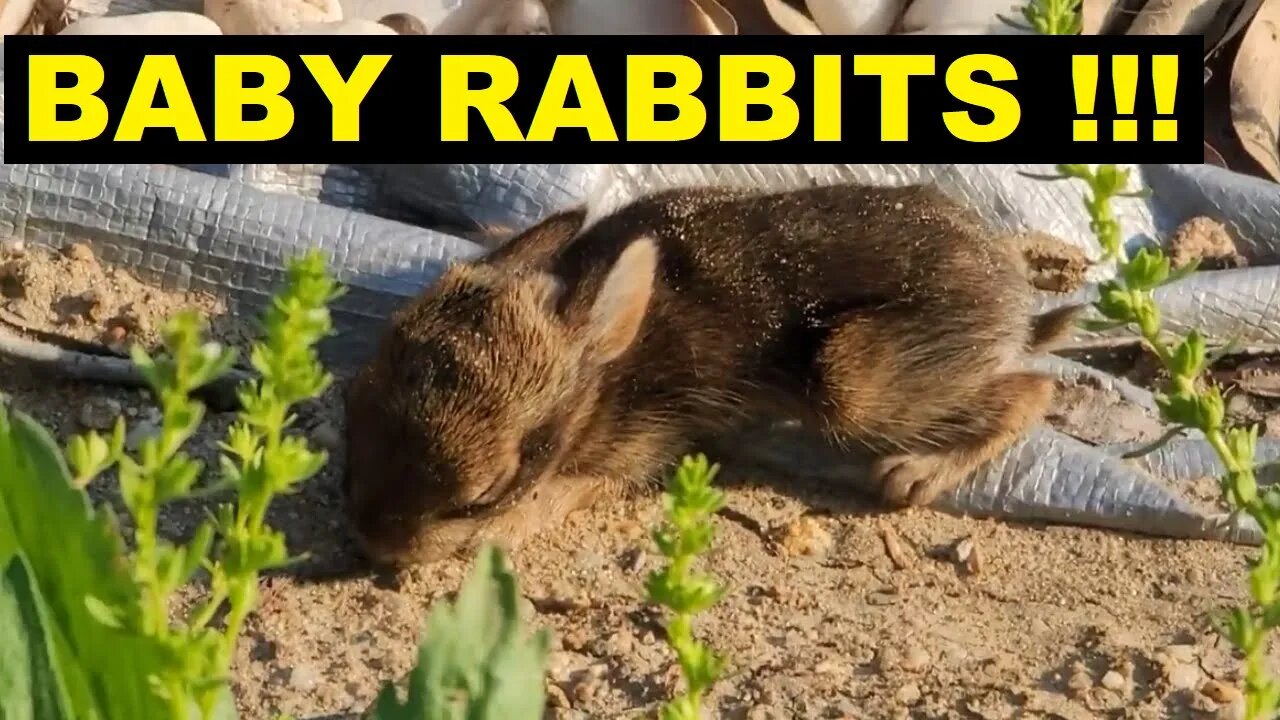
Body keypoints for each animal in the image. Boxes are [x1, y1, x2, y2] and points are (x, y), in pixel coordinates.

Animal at [343, 181, 1080, 563]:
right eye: (356, 405)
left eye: (479, 496)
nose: (372, 540)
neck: (601, 375)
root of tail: (1013, 299)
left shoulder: (638, 445)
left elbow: (563, 491)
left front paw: (492, 537)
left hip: (854, 383)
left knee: (1034, 388)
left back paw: (918, 472)